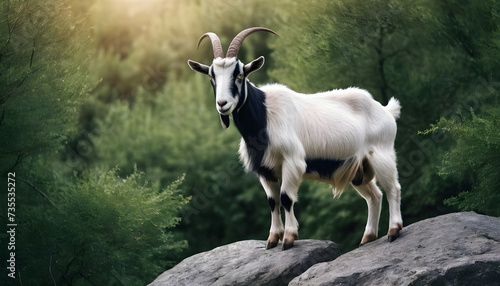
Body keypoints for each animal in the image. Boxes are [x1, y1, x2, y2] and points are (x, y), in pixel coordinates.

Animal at [188, 27, 402, 250]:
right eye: (211, 78)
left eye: (239, 74)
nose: (222, 104)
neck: (265, 115)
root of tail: (387, 111)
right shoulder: (264, 169)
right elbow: (272, 201)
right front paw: (272, 239)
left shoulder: (292, 161)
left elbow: (286, 198)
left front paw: (289, 237)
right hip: (359, 170)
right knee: (375, 196)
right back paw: (368, 237)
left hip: (381, 154)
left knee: (393, 189)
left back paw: (394, 231)